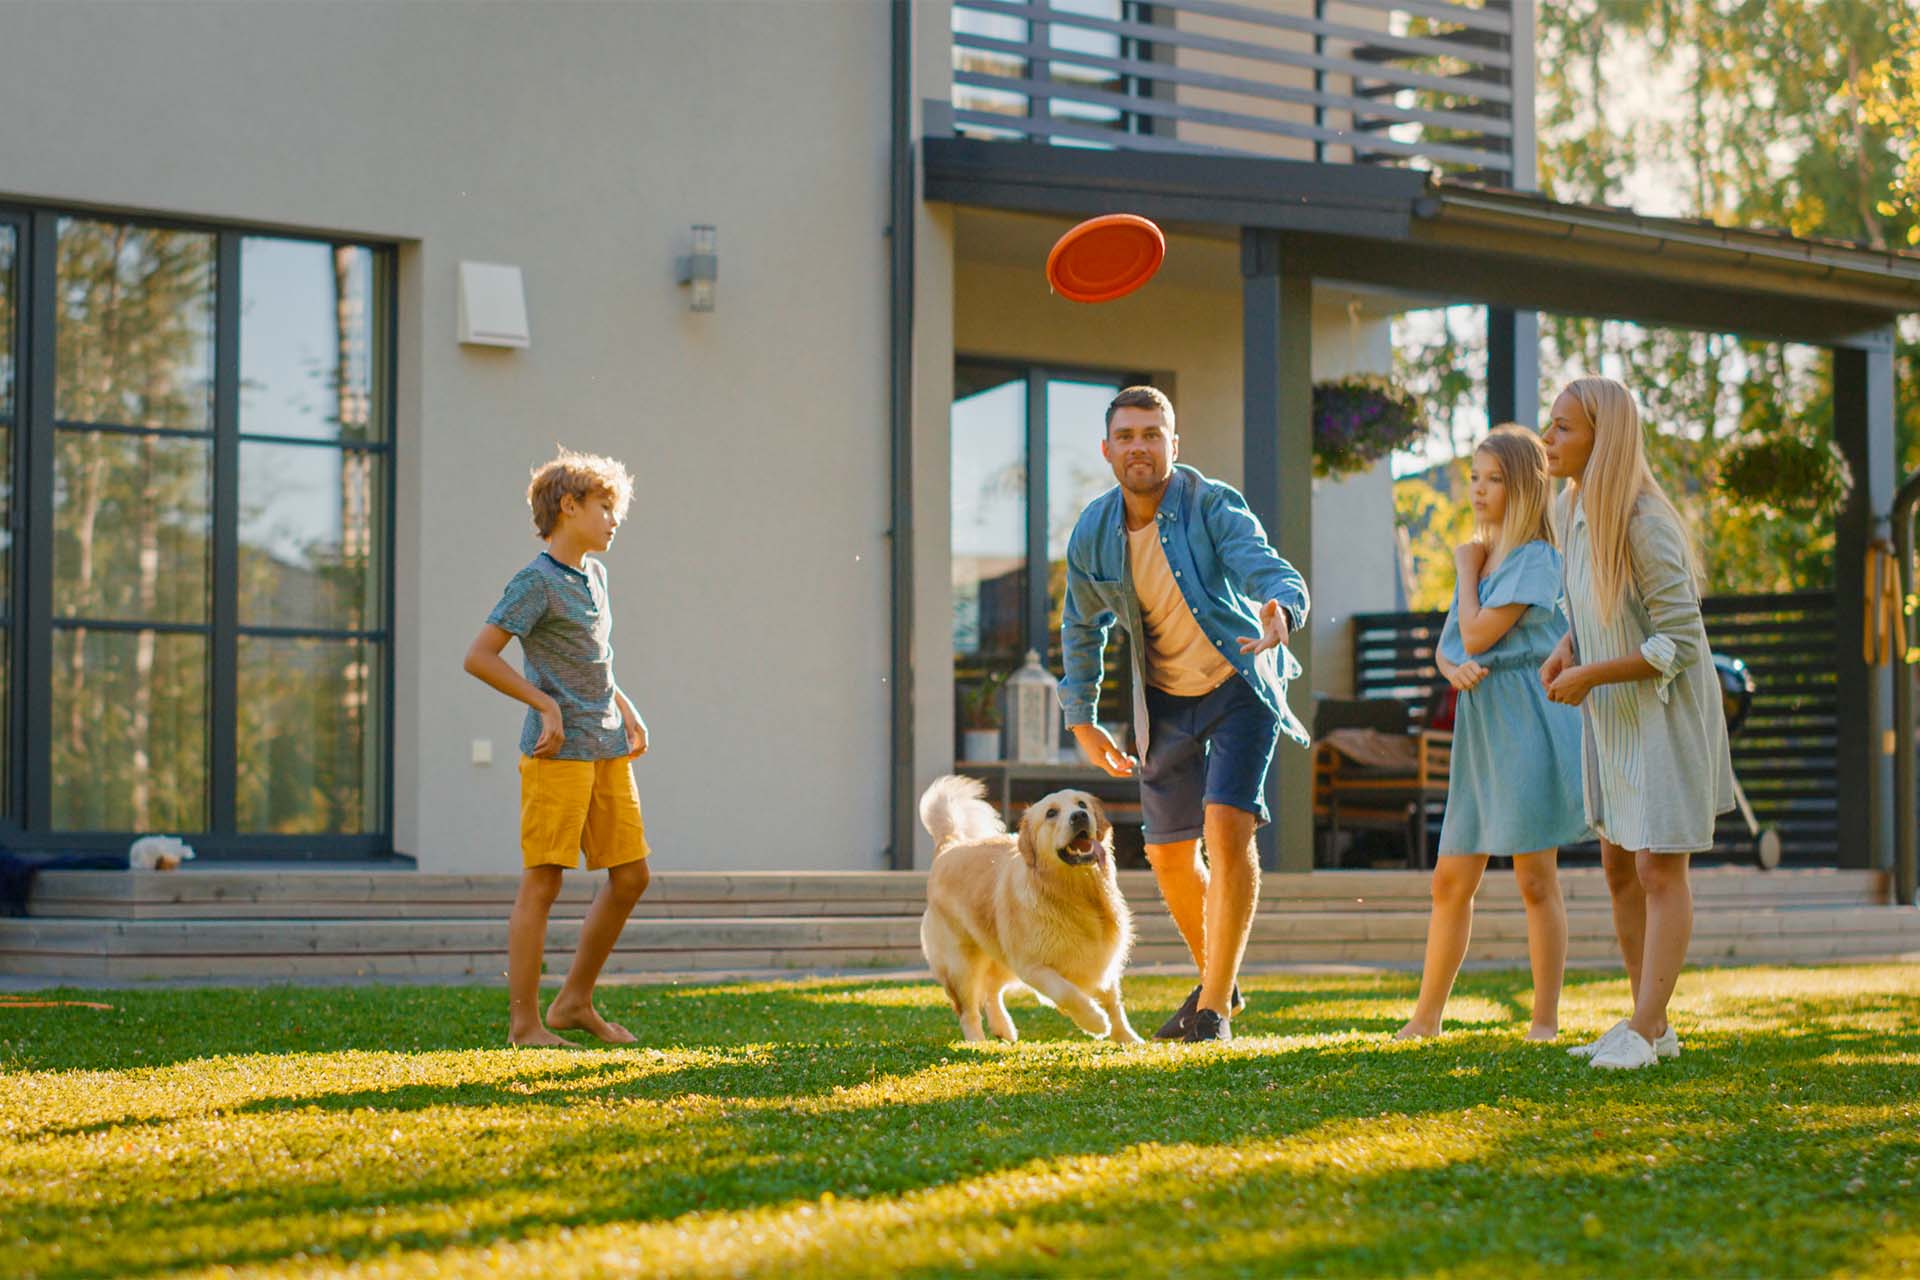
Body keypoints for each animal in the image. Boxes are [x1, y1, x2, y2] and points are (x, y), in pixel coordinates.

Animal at [917, 775, 1136, 1043]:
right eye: (1051, 813)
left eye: (1082, 804)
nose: (1079, 816)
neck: (1075, 892)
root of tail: (949, 845)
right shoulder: (1033, 966)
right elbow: (1066, 992)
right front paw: (1095, 1021)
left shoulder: (1104, 956)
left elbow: (1114, 1004)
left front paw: (1128, 1039)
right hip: (961, 963)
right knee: (968, 1010)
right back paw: (978, 1042)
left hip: (1000, 953)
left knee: (991, 990)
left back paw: (1003, 1028)